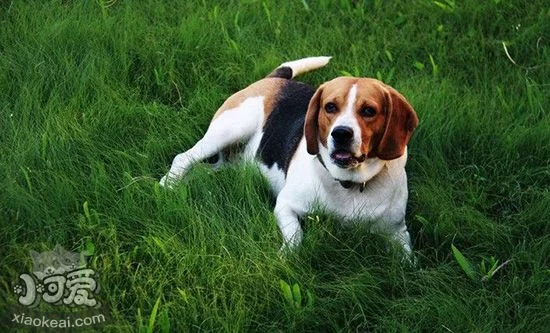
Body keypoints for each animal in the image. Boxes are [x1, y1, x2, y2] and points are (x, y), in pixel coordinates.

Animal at [162, 56, 420, 254]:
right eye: (330, 107)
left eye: (369, 111)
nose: (341, 134)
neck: (349, 183)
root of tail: (273, 80)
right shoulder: (285, 205)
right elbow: (296, 236)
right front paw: (286, 256)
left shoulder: (398, 232)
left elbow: (408, 262)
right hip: (229, 129)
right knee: (183, 158)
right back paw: (168, 187)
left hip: (227, 163)